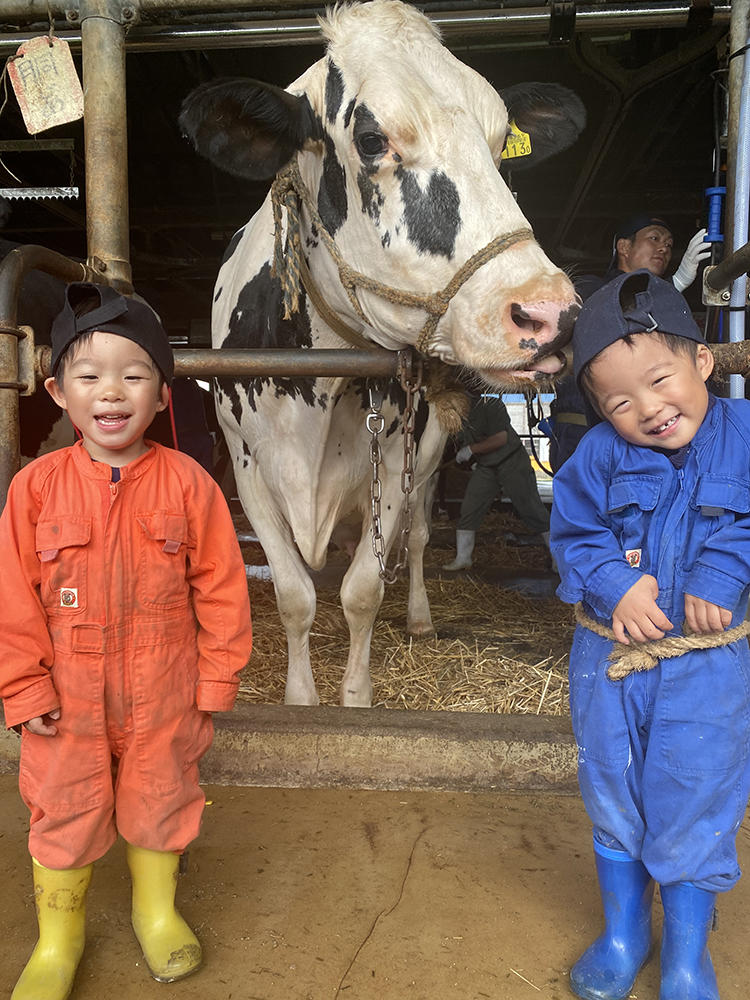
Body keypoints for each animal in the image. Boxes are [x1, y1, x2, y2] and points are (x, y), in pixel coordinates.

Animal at [181, 0, 580, 708]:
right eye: (371, 140)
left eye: (500, 143)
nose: (548, 311)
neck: (317, 386)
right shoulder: (246, 464)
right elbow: (294, 595)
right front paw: (302, 701)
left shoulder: (394, 458)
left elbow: (361, 591)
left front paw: (356, 699)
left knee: (417, 537)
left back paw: (418, 615)